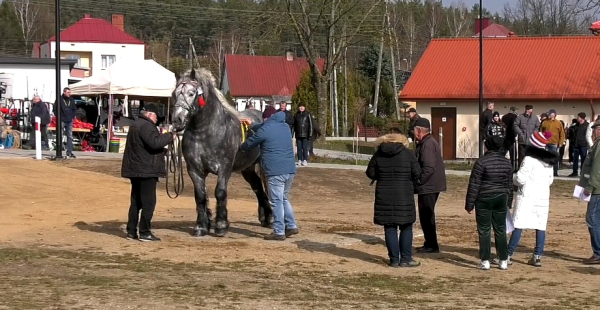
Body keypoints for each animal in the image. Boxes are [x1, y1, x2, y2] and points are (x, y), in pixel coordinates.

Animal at [169, 68, 272, 237]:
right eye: (174, 93)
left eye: (191, 93)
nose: (177, 120)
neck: (205, 132)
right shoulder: (194, 170)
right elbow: (200, 196)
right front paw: (201, 226)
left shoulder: (224, 168)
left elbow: (220, 192)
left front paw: (221, 226)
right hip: (247, 168)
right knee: (257, 187)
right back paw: (266, 217)